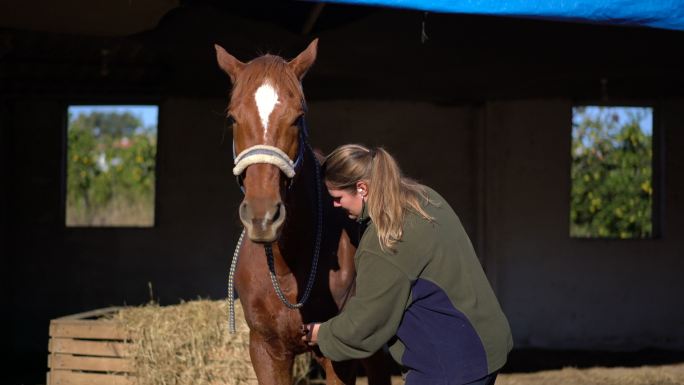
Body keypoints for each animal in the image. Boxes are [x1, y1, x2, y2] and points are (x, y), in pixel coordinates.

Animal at [214, 40, 390, 382]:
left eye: (297, 118)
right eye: (232, 119)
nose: (262, 217)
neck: (287, 269)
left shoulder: (338, 359)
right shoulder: (266, 352)